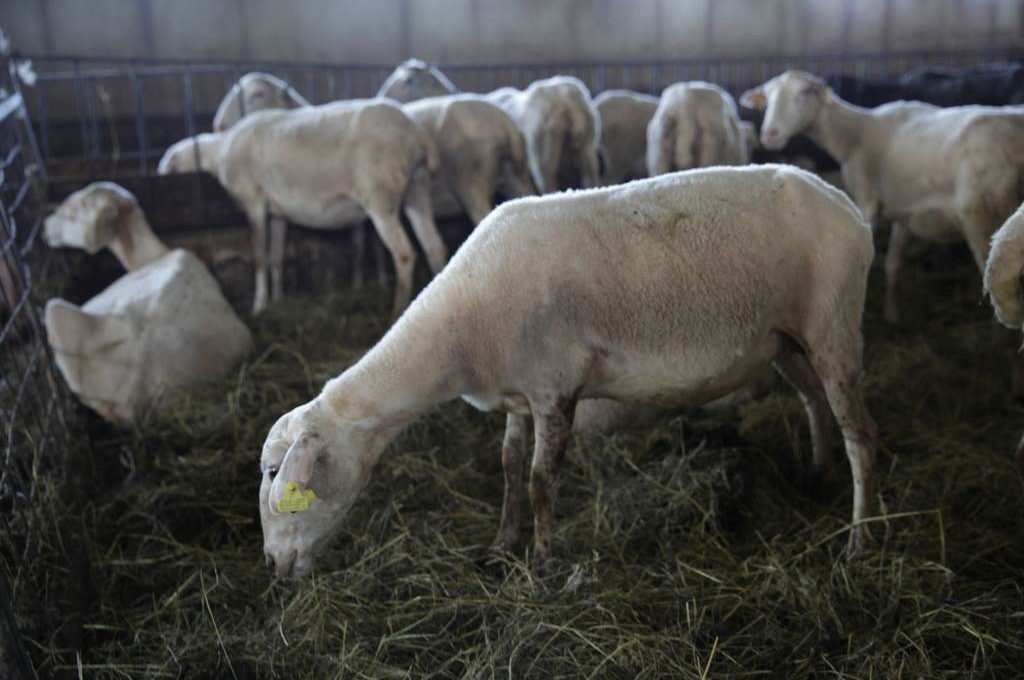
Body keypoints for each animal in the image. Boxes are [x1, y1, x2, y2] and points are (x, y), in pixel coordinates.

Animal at [163, 99, 448, 316]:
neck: (220, 151)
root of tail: (416, 132)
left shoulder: (253, 202)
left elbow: (260, 256)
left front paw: (260, 306)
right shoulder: (276, 212)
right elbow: (276, 256)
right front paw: (279, 299)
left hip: (380, 197)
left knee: (404, 254)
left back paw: (396, 312)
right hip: (417, 190)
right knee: (434, 247)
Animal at [257, 164, 877, 577]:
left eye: (274, 473)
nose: (274, 565)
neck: (459, 336)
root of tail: (845, 204)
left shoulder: (554, 387)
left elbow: (539, 479)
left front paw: (542, 561)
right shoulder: (516, 393)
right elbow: (507, 465)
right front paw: (503, 543)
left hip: (834, 324)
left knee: (860, 436)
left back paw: (859, 539)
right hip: (785, 339)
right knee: (814, 402)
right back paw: (816, 475)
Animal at [741, 70, 1024, 327]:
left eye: (804, 93)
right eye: (767, 97)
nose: (770, 135)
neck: (854, 132)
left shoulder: (867, 202)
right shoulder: (902, 209)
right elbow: (892, 264)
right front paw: (892, 314)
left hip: (983, 215)